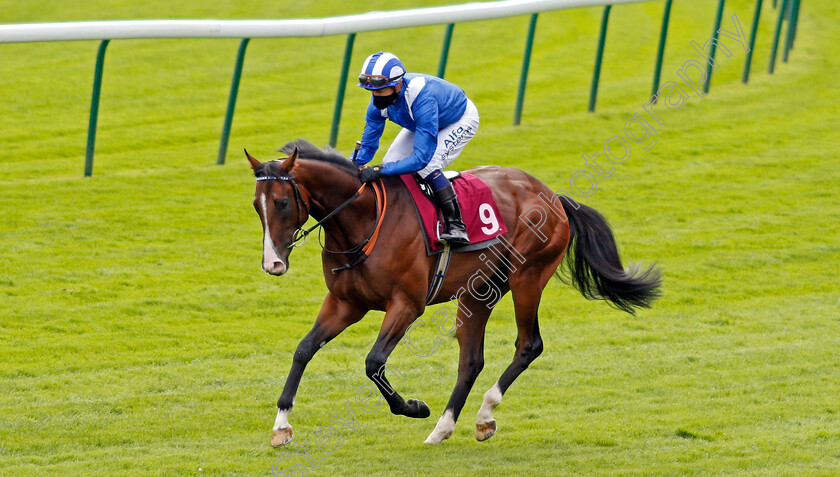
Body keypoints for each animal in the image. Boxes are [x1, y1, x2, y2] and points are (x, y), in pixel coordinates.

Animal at [246, 139, 660, 444]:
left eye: (281, 202)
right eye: (256, 206)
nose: (273, 264)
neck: (362, 220)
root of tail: (555, 197)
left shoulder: (407, 304)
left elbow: (374, 362)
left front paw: (414, 407)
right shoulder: (345, 303)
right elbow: (304, 349)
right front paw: (281, 425)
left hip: (527, 277)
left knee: (529, 344)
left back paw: (482, 414)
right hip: (479, 291)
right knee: (471, 360)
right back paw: (445, 428)